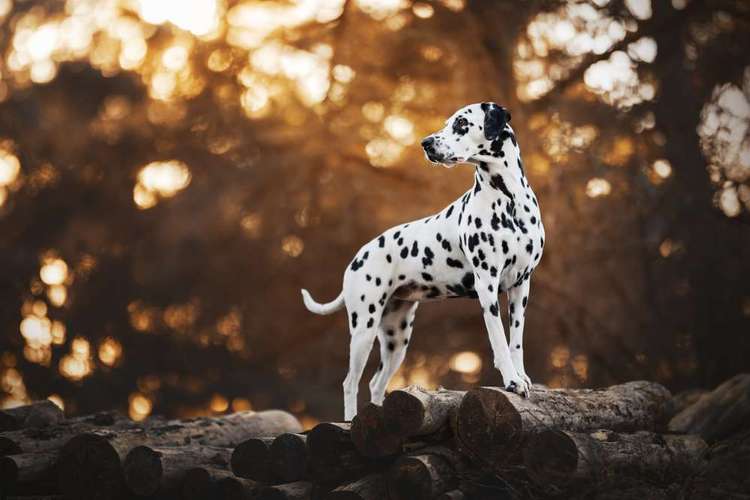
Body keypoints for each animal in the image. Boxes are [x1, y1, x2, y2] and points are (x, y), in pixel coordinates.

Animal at [302, 102, 548, 422]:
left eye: (461, 123)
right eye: (447, 123)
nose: (426, 143)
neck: (509, 200)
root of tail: (358, 257)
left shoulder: (521, 286)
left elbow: (516, 341)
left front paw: (521, 377)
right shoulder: (487, 286)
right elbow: (500, 342)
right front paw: (511, 380)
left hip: (397, 337)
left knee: (375, 383)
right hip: (363, 329)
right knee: (350, 382)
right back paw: (350, 421)